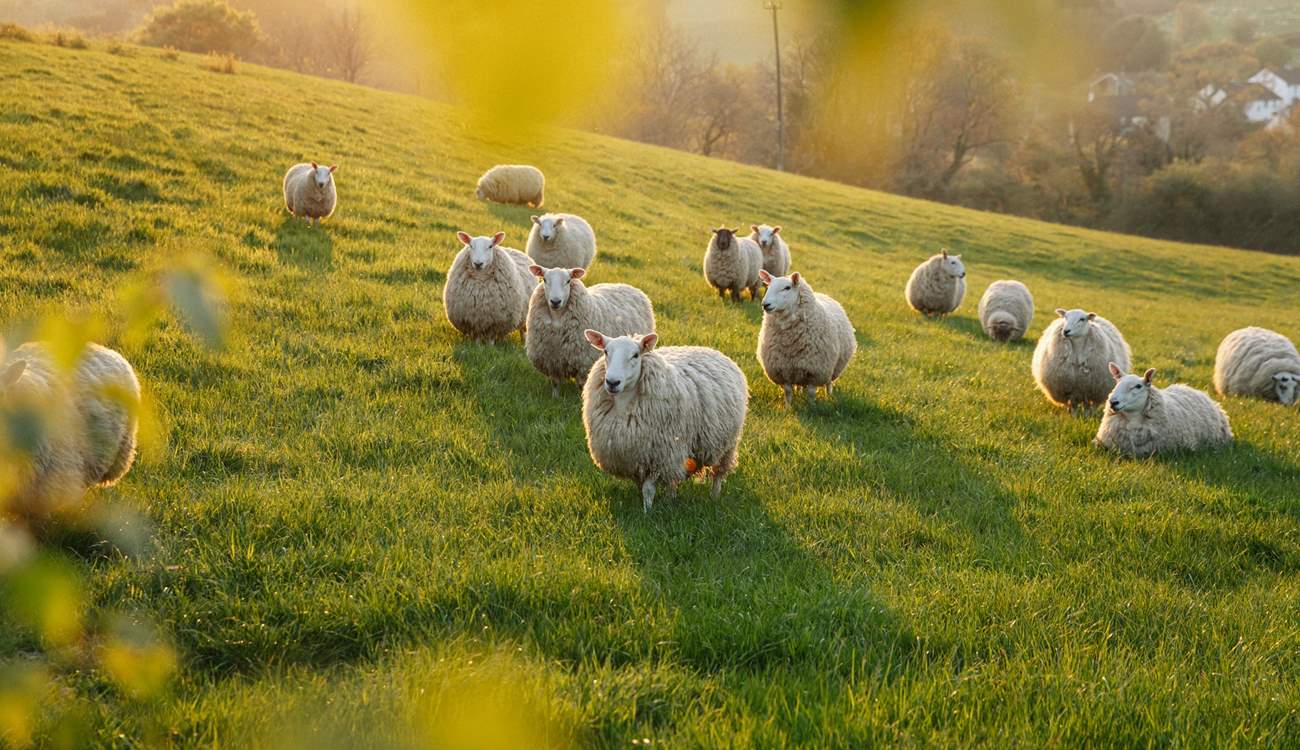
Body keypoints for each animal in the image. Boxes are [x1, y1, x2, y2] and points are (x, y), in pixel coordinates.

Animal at [525, 266, 656, 396]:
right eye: (544, 279)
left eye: (568, 281)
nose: (555, 301)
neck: (557, 318)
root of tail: (628, 285)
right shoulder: (551, 360)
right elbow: (555, 383)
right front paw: (555, 397)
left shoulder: (583, 363)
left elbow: (581, 385)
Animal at [581, 330, 748, 512]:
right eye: (605, 352)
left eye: (635, 355)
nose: (612, 382)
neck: (623, 405)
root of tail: (714, 351)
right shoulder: (635, 457)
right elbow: (641, 486)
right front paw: (642, 504)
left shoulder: (659, 455)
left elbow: (648, 489)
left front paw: (646, 512)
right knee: (673, 478)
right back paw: (671, 499)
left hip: (726, 445)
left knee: (717, 473)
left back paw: (714, 496)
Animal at [756, 270, 856, 407]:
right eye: (769, 286)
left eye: (787, 288)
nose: (765, 304)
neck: (789, 342)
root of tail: (823, 294)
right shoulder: (783, 370)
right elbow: (788, 392)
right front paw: (788, 407)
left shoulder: (815, 371)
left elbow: (811, 393)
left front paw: (811, 407)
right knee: (800, 385)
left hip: (832, 368)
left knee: (829, 383)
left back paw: (829, 396)